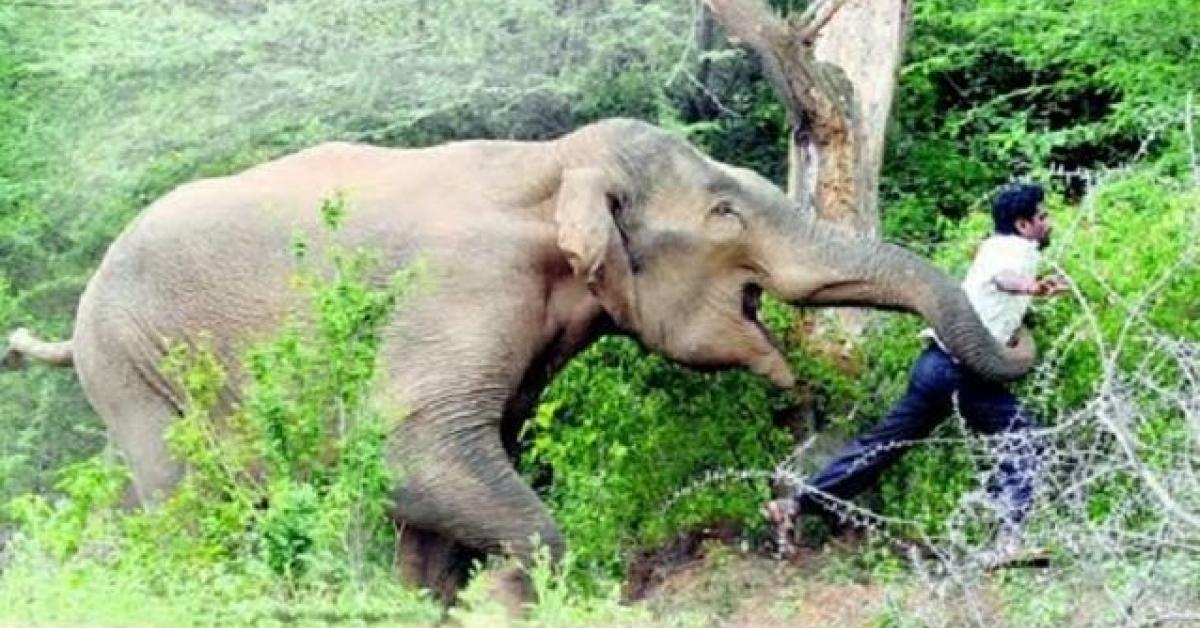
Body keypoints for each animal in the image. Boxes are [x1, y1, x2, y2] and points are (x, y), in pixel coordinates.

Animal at [3, 118, 1032, 602]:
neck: (550, 164)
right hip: (132, 365)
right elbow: (415, 449)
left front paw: (435, 601)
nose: (800, 414)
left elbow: (441, 472)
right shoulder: (462, 291)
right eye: (725, 213)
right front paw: (509, 594)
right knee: (187, 501)